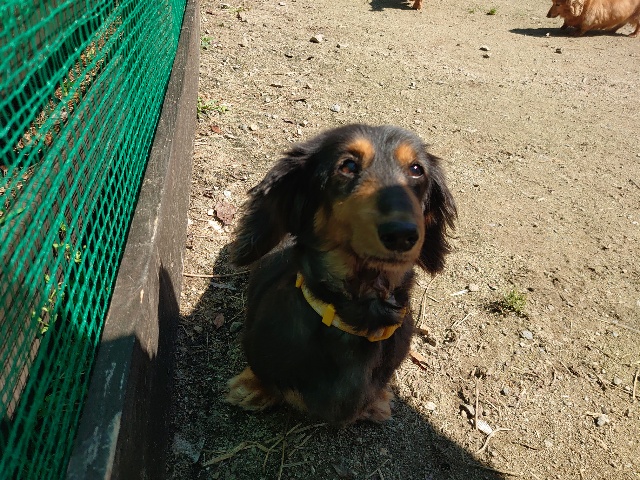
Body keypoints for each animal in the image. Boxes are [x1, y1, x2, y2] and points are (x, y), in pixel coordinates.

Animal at [226, 124, 456, 424]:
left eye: (417, 169)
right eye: (348, 165)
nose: (402, 234)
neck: (358, 315)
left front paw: (376, 403)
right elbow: (262, 372)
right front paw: (252, 388)